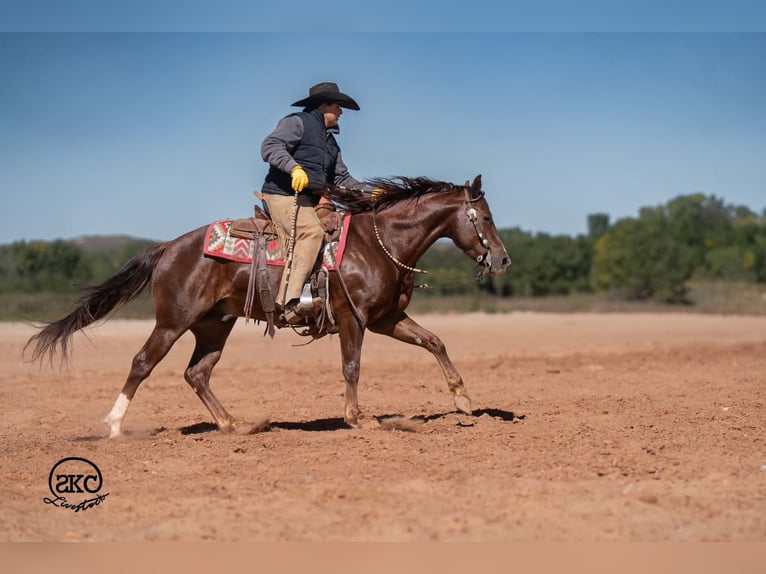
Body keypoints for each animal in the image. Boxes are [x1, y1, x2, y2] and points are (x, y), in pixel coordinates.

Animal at [26, 175, 511, 437]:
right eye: (486, 217)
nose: (503, 260)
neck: (379, 244)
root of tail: (168, 248)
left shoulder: (386, 318)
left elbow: (435, 341)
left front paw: (464, 399)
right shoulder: (353, 318)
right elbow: (352, 366)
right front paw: (358, 418)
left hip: (214, 325)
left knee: (197, 373)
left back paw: (234, 425)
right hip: (173, 321)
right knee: (143, 362)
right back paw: (113, 426)